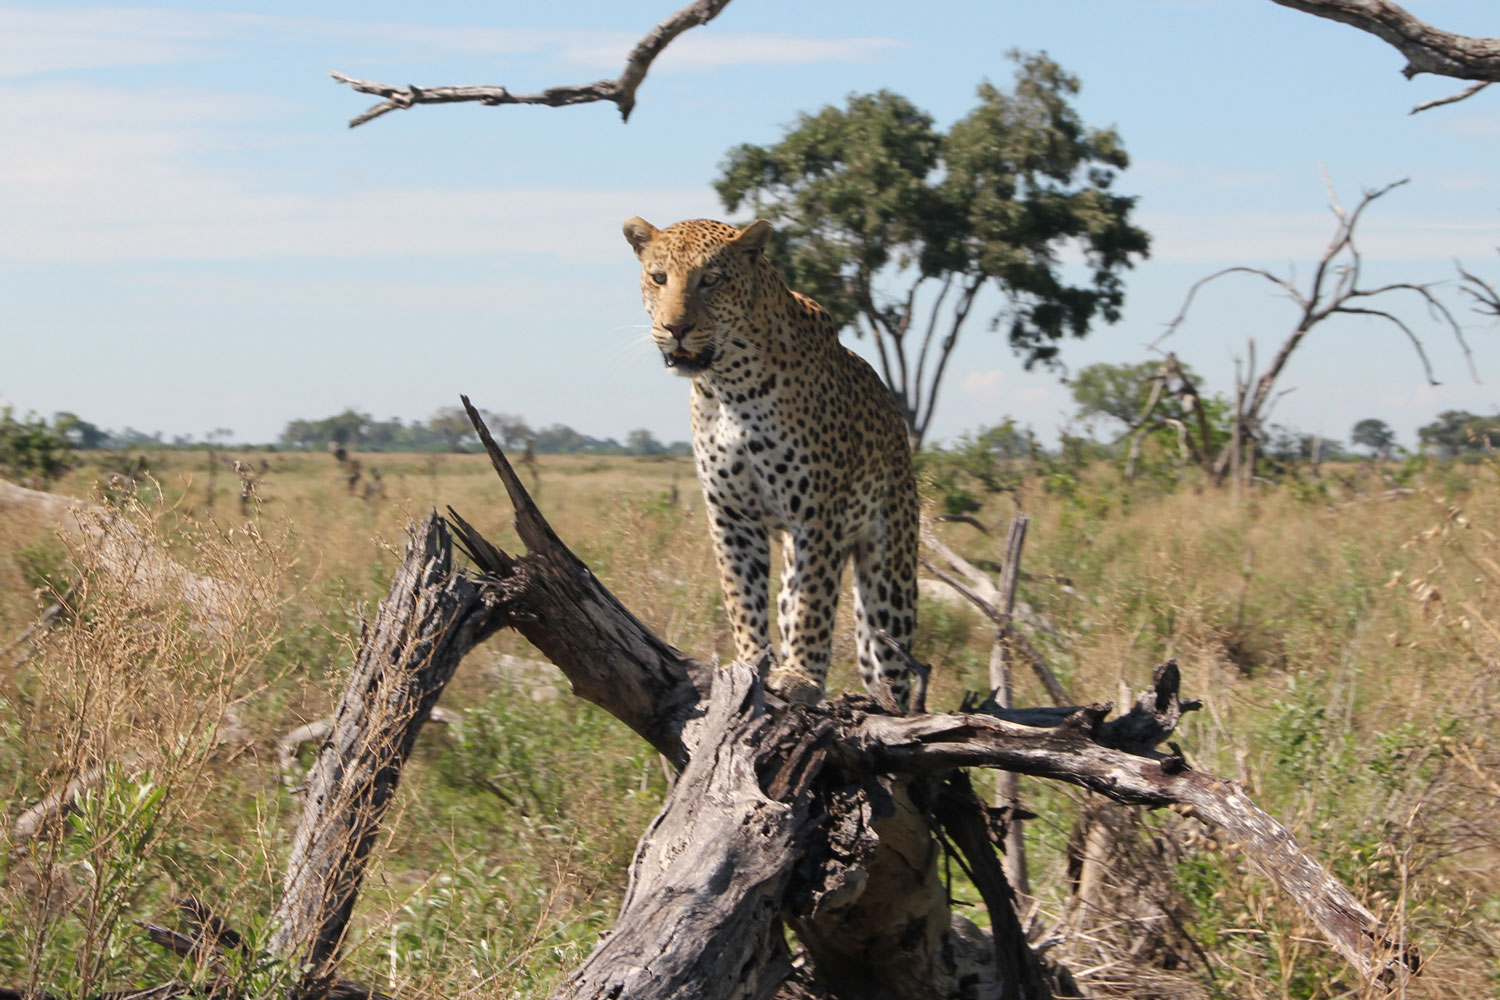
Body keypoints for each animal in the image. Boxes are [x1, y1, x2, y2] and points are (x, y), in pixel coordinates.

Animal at [622, 215, 920, 709]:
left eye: (711, 280)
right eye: (659, 278)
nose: (675, 327)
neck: (728, 385)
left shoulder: (818, 516)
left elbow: (815, 603)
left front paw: (800, 678)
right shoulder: (732, 516)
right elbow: (741, 597)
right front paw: (751, 664)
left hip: (888, 576)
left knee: (893, 664)